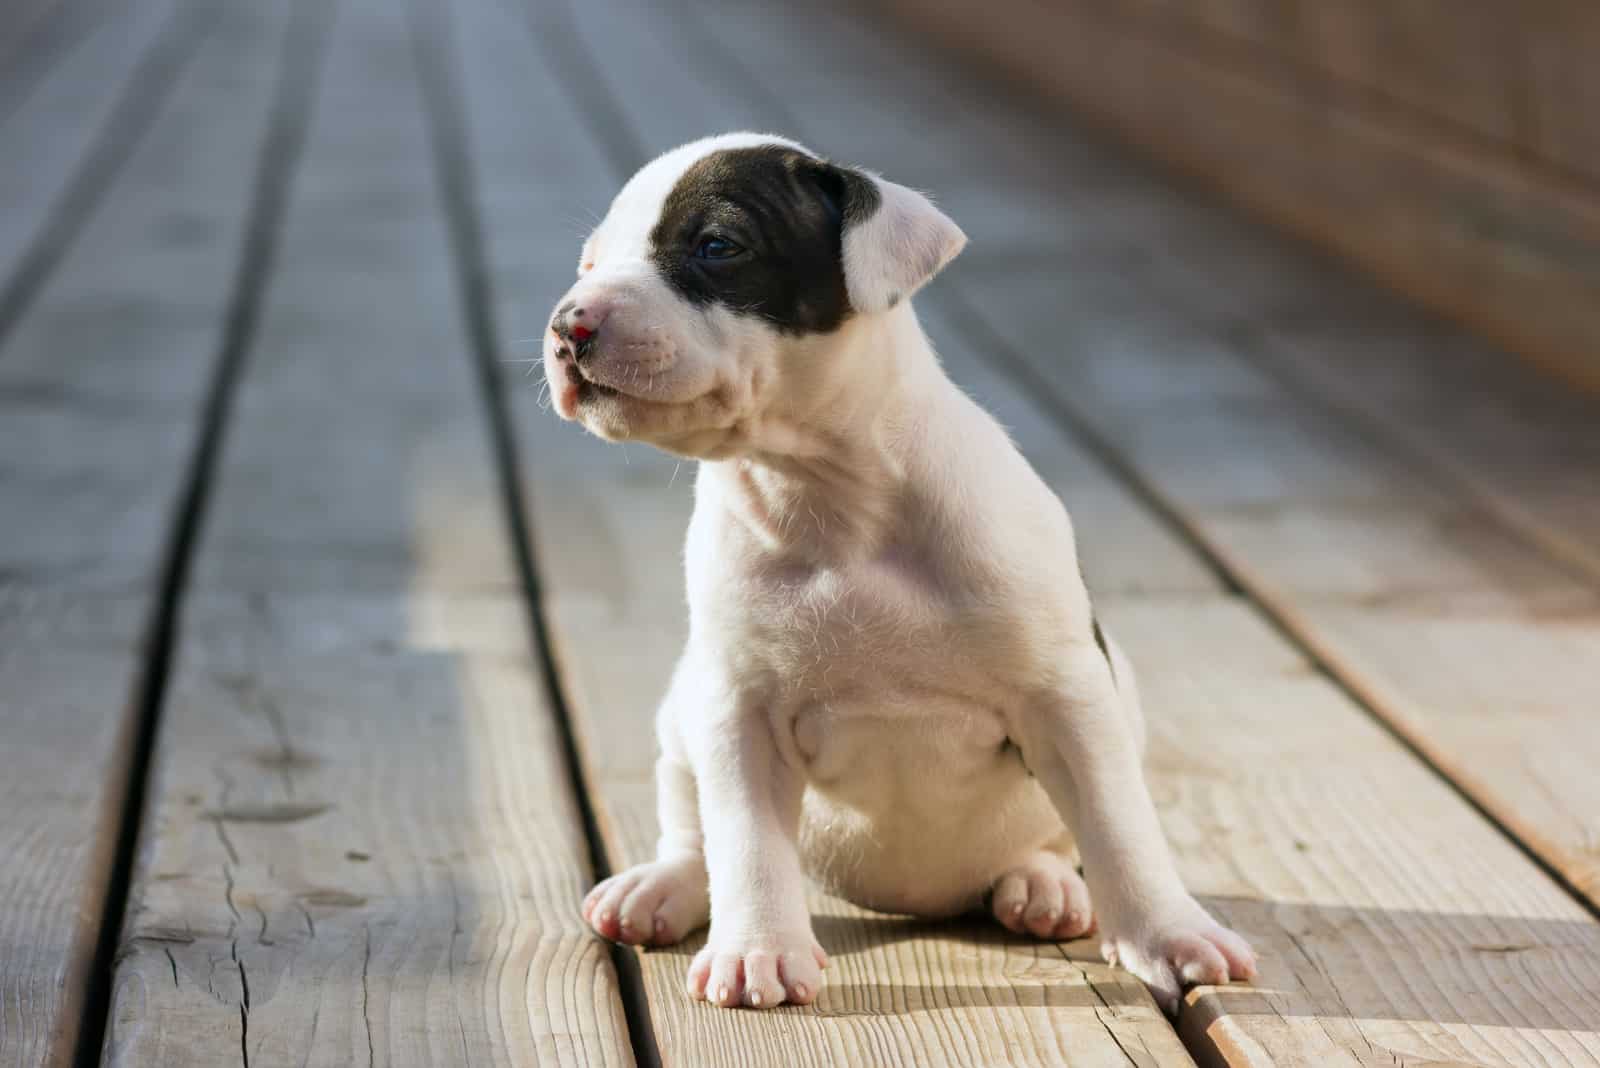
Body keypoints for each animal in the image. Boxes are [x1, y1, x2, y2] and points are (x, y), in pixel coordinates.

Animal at [550, 131, 1260, 1010]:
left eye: (718, 246)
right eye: (589, 263)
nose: (568, 325)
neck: (827, 496)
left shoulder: (1068, 696)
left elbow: (1118, 822)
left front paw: (1172, 933)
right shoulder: (735, 710)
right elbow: (745, 838)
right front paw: (758, 950)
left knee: (1052, 839)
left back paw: (1045, 885)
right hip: (681, 714)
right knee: (693, 828)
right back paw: (662, 888)